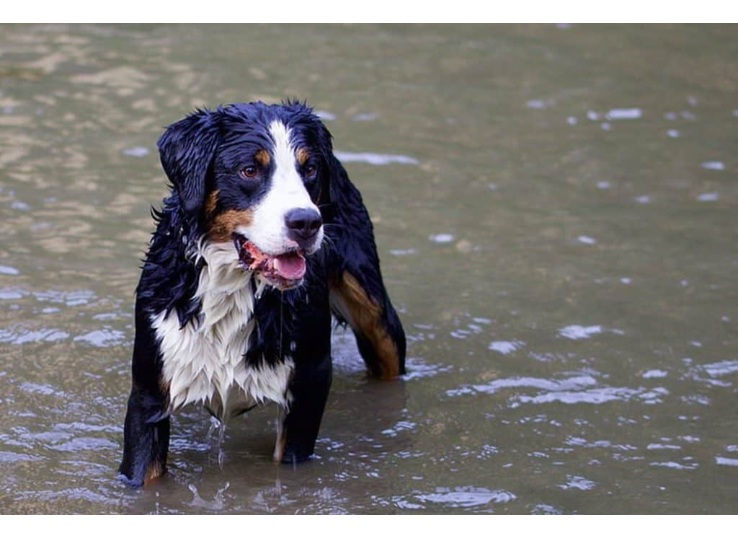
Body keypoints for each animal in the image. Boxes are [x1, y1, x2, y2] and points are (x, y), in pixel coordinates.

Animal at [118, 100, 406, 486]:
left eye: (309, 168)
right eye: (250, 170)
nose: (306, 222)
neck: (233, 288)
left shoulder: (309, 384)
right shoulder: (149, 393)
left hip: (377, 316)